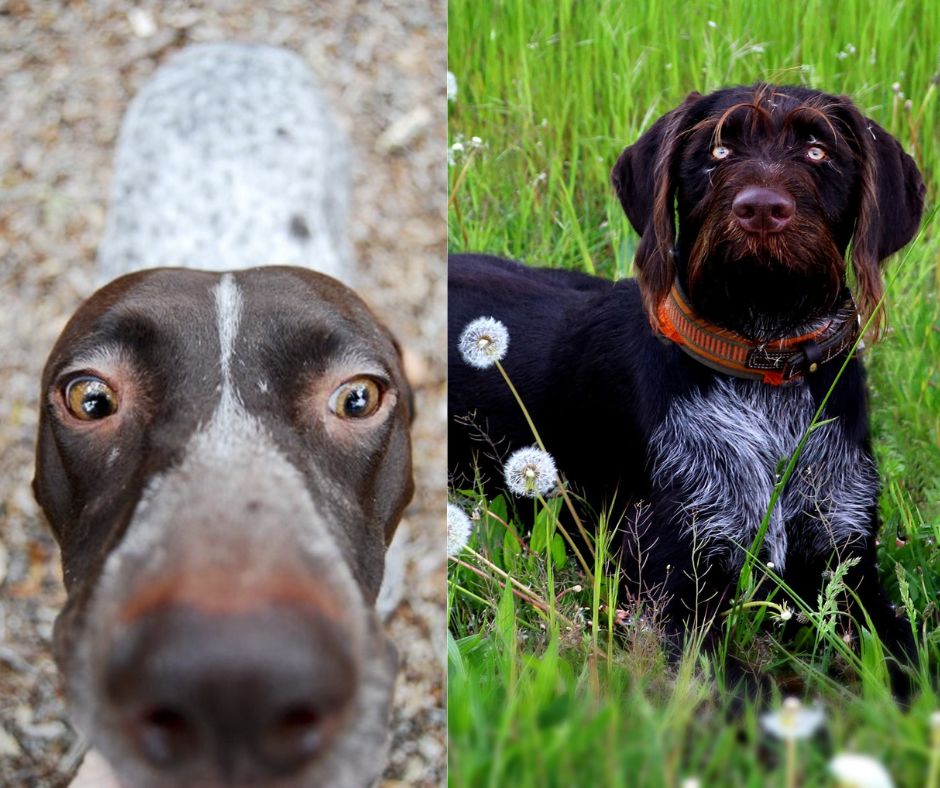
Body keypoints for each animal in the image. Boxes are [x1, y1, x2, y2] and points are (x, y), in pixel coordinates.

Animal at [450, 84, 924, 672]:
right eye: (717, 152)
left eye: (818, 151)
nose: (761, 210)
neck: (761, 363)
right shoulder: (671, 590)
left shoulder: (849, 561)